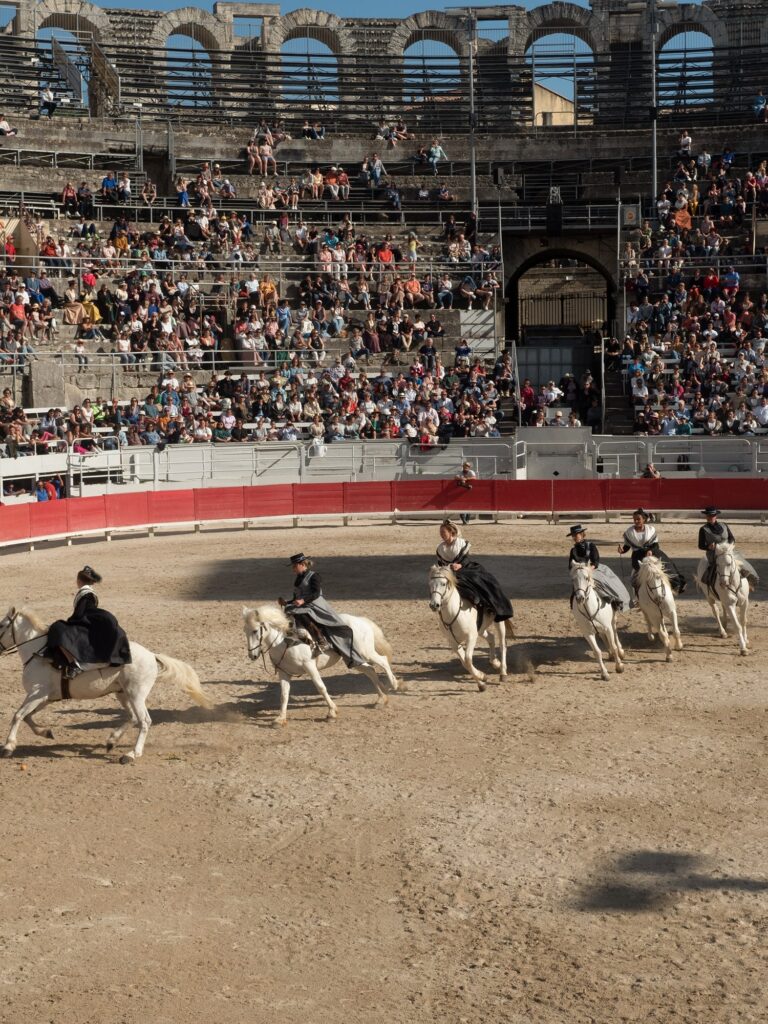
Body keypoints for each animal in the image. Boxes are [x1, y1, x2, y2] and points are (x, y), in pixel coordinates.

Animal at [0, 606, 210, 761]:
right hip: (123, 694)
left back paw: (131, 754)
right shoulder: (45, 698)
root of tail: (151, 655)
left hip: (136, 694)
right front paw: (46, 732)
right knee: (133, 717)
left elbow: (18, 715)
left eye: (1, 625)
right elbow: (27, 716)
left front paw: (8, 746)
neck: (38, 653)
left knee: (144, 721)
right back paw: (112, 741)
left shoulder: (37, 694)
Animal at [243, 602, 399, 724]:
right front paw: (280, 719)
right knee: (370, 671)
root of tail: (361, 621)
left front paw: (332, 712)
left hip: (365, 652)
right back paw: (381, 699)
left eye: (255, 630)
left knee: (383, 661)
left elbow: (321, 687)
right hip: (353, 659)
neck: (284, 641)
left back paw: (394, 684)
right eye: (245, 631)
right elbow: (284, 694)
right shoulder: (284, 672)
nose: (252, 655)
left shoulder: (309, 666)